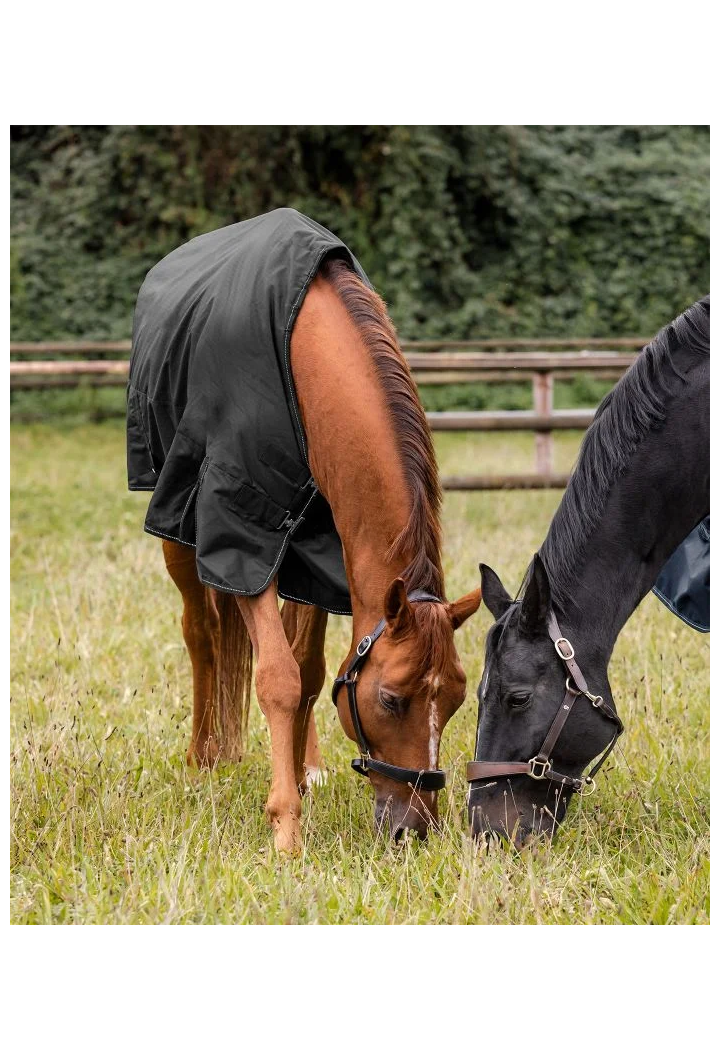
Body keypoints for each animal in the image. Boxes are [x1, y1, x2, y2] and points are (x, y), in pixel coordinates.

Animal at [128, 209, 480, 852]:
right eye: (392, 700)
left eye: (457, 697)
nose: (414, 829)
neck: (305, 352)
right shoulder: (243, 535)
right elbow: (277, 679)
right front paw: (286, 827)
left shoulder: (324, 552)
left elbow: (311, 674)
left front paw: (299, 776)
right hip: (175, 525)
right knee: (200, 631)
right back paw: (203, 757)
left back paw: (304, 764)